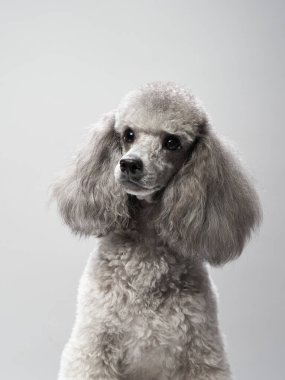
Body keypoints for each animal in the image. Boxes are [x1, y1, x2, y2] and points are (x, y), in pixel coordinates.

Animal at [52, 81, 260, 378]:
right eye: (128, 134)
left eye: (172, 142)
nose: (129, 163)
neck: (147, 253)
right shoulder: (94, 346)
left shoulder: (201, 352)